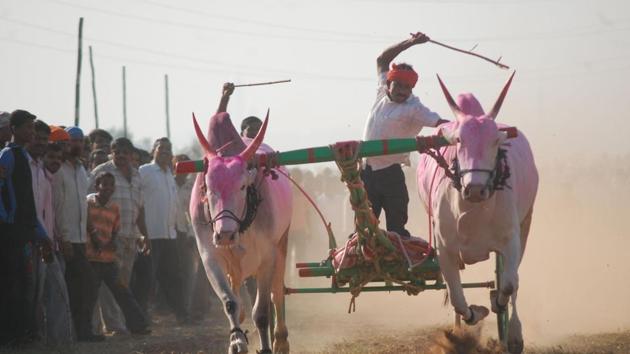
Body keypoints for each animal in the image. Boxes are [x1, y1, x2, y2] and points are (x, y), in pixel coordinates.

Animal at [190, 111, 294, 354]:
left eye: (242, 187)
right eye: (209, 188)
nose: (225, 234)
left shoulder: (267, 258)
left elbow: (263, 311)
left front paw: (266, 347)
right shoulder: (210, 258)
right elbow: (230, 303)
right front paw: (237, 343)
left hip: (282, 244)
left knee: (277, 293)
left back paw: (280, 340)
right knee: (239, 294)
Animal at [418, 72, 540, 354]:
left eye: (496, 140)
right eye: (458, 140)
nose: (475, 189)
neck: (471, 212)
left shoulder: (511, 240)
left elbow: (509, 284)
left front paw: (498, 306)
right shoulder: (445, 249)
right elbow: (457, 298)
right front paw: (471, 318)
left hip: (526, 224)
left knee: (513, 280)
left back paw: (513, 333)